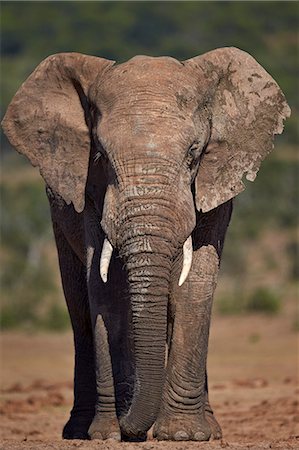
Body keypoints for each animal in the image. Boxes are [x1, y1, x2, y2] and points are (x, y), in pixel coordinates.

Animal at [1, 47, 290, 442]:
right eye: (101, 156)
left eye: (194, 155)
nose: (133, 427)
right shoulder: (91, 194)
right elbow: (105, 289)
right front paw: (110, 434)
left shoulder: (213, 186)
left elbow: (194, 285)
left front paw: (184, 435)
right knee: (78, 309)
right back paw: (78, 430)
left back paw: (210, 429)